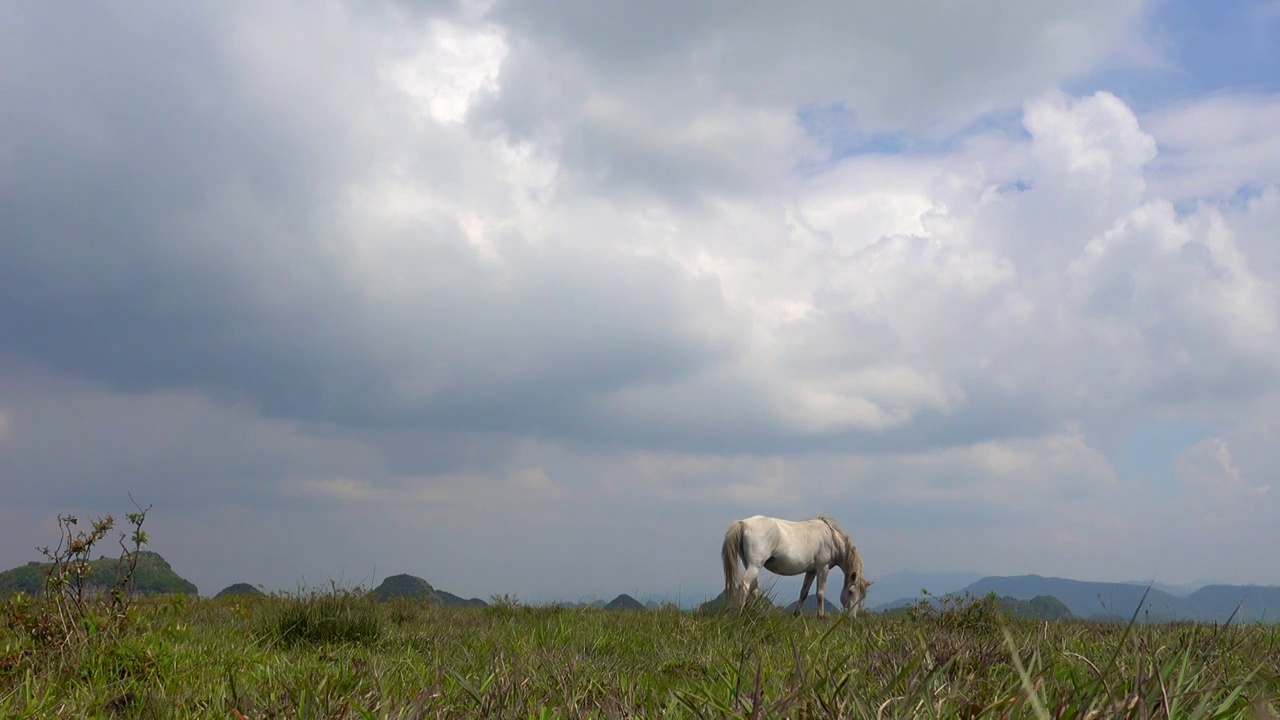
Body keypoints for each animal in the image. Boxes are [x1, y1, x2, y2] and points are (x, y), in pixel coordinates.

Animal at [721, 509, 870, 617]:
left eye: (862, 596)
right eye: (850, 592)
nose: (851, 618)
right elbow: (820, 593)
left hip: (749, 564)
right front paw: (821, 617)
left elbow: (804, 592)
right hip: (754, 565)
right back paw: (741, 614)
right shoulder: (823, 568)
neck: (832, 539)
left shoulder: (811, 570)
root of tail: (743, 523)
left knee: (755, 589)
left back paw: (762, 614)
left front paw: (797, 614)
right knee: (745, 585)